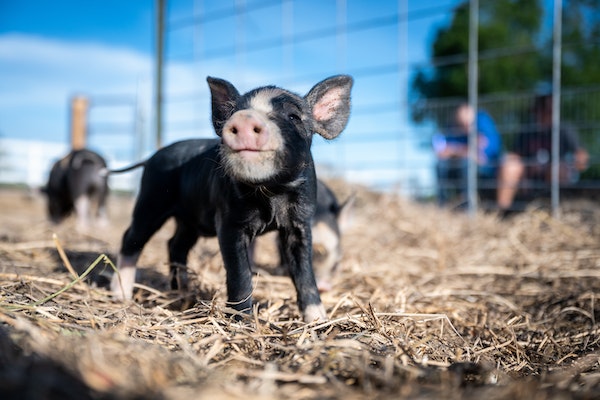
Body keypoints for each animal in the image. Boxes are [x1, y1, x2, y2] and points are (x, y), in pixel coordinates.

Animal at [111, 74, 352, 322]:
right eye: (235, 112)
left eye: (293, 116)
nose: (245, 117)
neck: (272, 193)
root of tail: (151, 157)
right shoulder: (229, 222)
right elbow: (240, 275)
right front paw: (242, 320)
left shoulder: (301, 223)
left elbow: (304, 272)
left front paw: (318, 320)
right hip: (151, 199)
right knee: (131, 239)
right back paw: (121, 296)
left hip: (188, 220)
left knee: (175, 244)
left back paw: (183, 294)